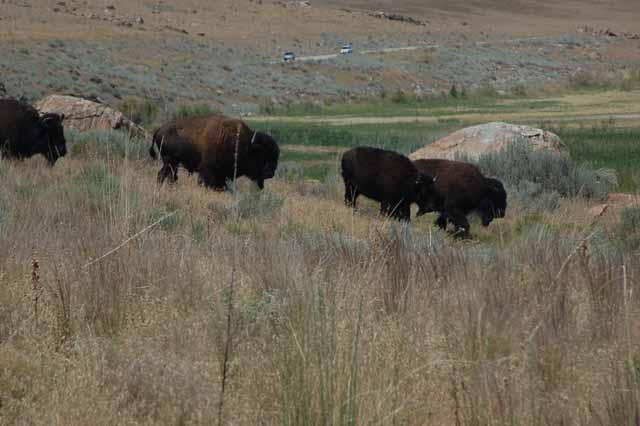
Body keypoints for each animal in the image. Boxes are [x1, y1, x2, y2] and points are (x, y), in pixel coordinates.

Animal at [149, 114, 280, 190]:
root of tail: (159, 130)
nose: (270, 172)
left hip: (173, 163)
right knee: (164, 175)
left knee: (168, 176)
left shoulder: (223, 174)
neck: (244, 144)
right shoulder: (207, 170)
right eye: (262, 154)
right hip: (170, 162)